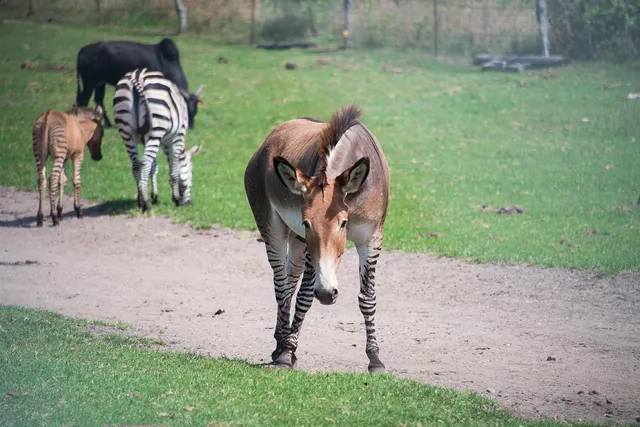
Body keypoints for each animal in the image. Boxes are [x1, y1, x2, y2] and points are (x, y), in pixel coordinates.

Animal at [113, 68, 202, 212]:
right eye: (192, 171)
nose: (189, 203)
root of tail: (137, 75)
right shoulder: (177, 137)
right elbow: (174, 170)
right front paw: (176, 199)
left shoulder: (151, 141)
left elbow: (154, 167)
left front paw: (154, 196)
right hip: (156, 127)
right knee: (144, 163)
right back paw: (145, 204)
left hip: (127, 132)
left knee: (136, 164)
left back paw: (140, 200)